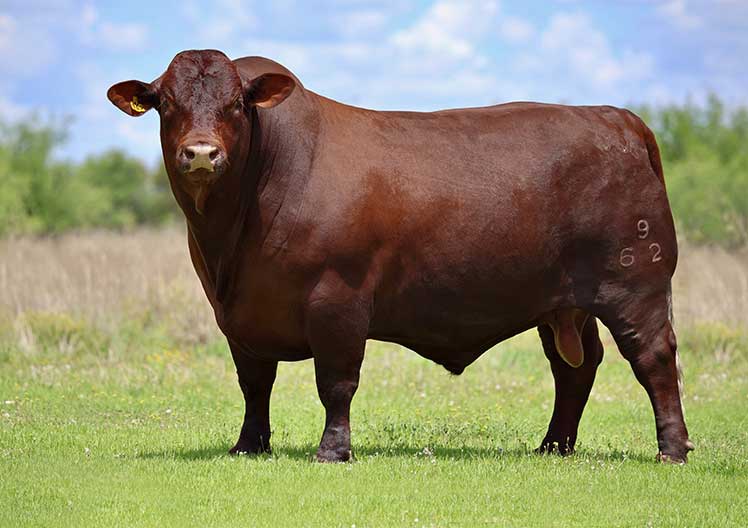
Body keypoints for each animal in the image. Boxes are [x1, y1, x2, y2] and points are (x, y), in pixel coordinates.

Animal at [108, 49, 693, 463]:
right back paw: (553, 447)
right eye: (167, 103)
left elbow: (336, 382)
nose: (201, 153)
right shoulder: (237, 314)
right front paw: (248, 446)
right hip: (562, 303)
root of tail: (619, 120)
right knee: (576, 367)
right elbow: (254, 384)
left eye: (235, 104)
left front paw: (333, 451)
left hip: (634, 285)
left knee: (654, 359)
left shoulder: (338, 298)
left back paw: (672, 449)